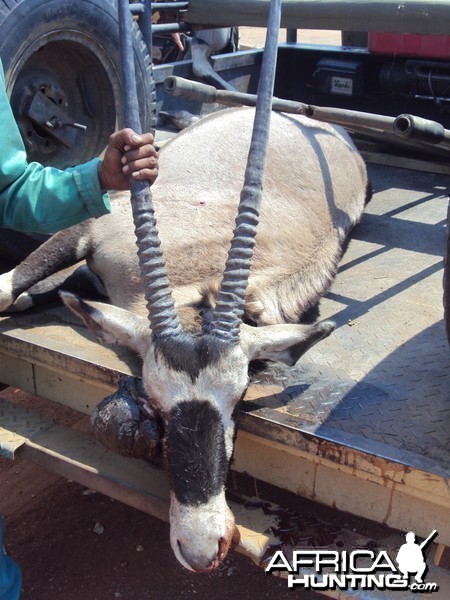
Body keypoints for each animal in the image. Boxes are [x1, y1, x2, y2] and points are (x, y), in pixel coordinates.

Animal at [0, 108, 370, 572]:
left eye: (239, 397)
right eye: (155, 398)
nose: (201, 547)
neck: (195, 280)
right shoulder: (88, 230)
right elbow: (10, 290)